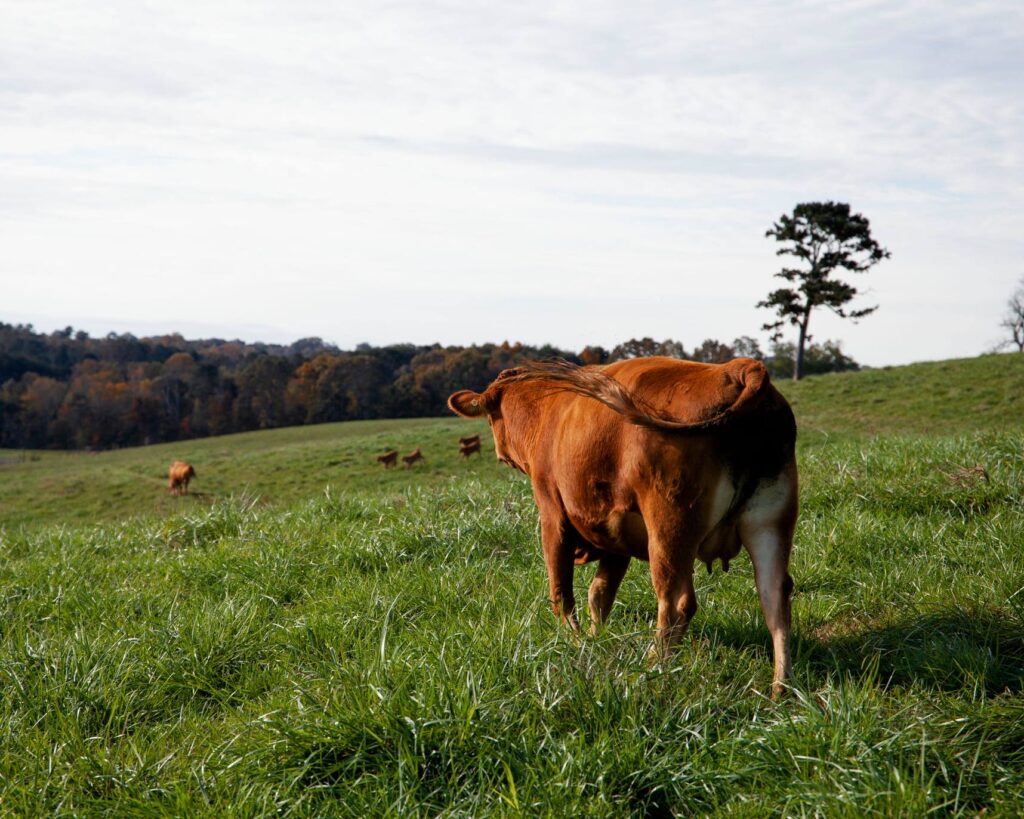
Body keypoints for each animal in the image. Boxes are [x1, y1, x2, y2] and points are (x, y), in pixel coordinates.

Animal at [448, 357, 798, 697]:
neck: (547, 411)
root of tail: (740, 367)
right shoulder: (616, 534)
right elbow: (599, 593)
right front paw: (595, 637)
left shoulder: (551, 514)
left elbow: (562, 594)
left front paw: (576, 642)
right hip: (769, 525)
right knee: (775, 598)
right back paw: (780, 688)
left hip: (668, 529)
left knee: (676, 603)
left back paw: (651, 669)